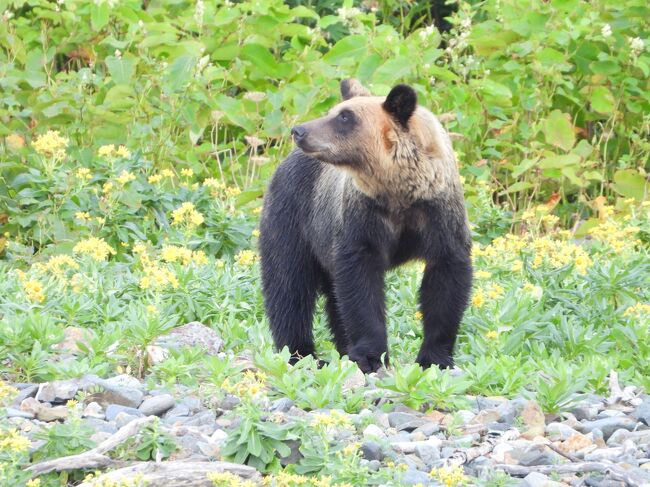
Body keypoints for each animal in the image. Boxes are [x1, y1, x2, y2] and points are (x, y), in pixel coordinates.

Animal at [258, 79, 470, 374]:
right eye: (335, 112)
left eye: (345, 117)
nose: (299, 130)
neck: (398, 191)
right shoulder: (362, 217)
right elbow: (360, 285)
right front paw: (371, 356)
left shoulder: (438, 214)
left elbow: (446, 280)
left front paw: (435, 357)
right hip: (294, 217)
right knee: (288, 284)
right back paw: (301, 353)